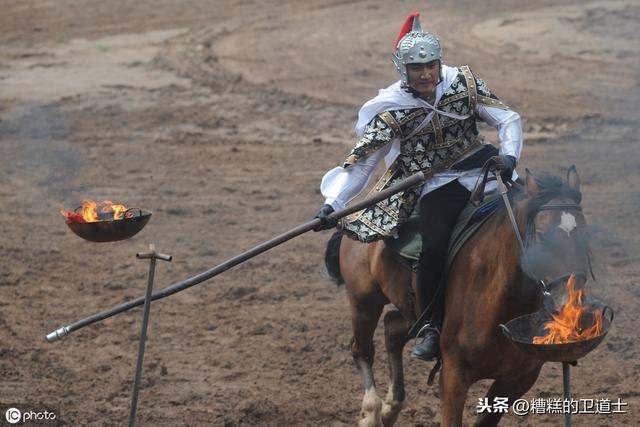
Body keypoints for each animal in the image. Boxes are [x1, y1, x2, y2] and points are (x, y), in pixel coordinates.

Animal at [336, 168, 592, 427]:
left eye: (585, 235)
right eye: (541, 236)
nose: (569, 303)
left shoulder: (519, 378)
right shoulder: (453, 375)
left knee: (392, 329)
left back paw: (391, 408)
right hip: (364, 300)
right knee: (362, 350)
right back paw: (371, 413)